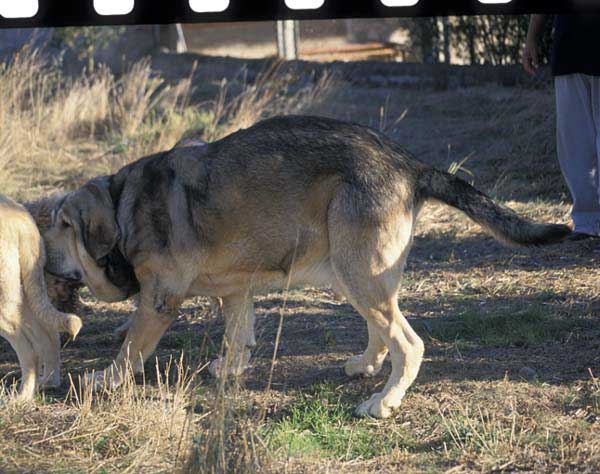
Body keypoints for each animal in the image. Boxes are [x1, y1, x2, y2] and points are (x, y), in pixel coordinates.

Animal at [0, 193, 82, 400]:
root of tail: (22, 222)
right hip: (24, 295)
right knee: (50, 335)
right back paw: (47, 382)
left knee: (30, 350)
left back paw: (22, 397)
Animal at [43, 115, 572, 418]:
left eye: (64, 225)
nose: (43, 259)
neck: (122, 207)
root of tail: (410, 164)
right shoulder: (236, 293)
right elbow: (239, 335)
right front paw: (230, 370)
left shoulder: (158, 302)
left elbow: (129, 349)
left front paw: (105, 381)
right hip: (356, 273)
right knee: (383, 330)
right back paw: (365, 365)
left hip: (358, 273)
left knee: (409, 342)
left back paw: (384, 402)